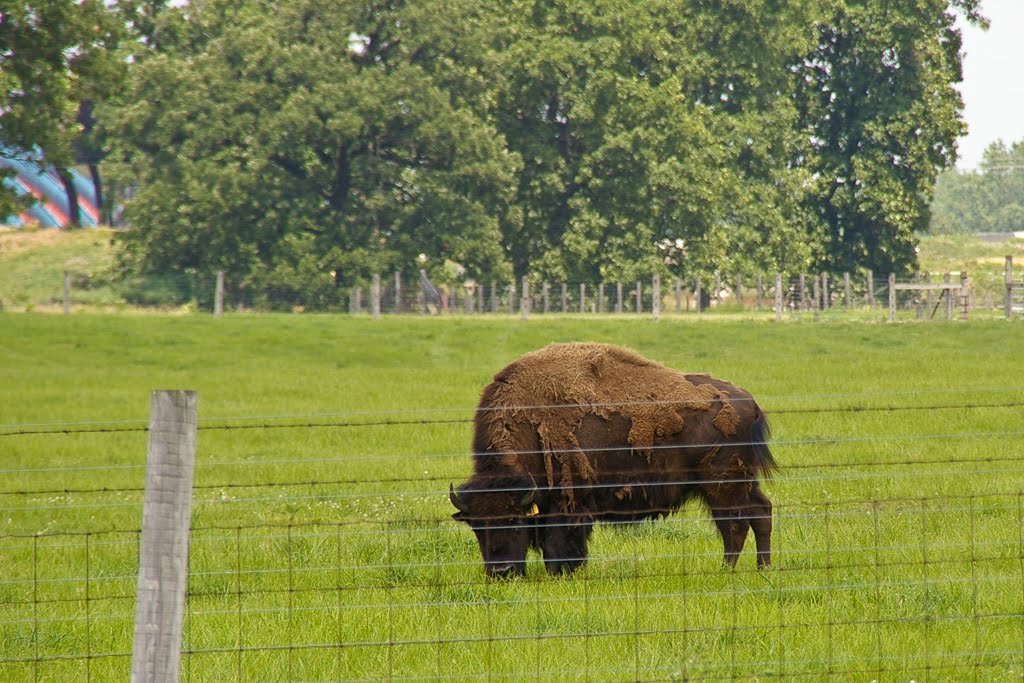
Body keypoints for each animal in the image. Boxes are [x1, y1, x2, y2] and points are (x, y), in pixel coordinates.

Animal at [448, 342, 774, 577]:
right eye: (476, 527)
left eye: (516, 521)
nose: (501, 572)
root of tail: (749, 401)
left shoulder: (566, 504)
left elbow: (558, 542)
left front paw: (562, 572)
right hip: (742, 482)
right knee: (761, 512)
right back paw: (763, 568)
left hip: (721, 485)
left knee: (735, 525)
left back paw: (727, 570)